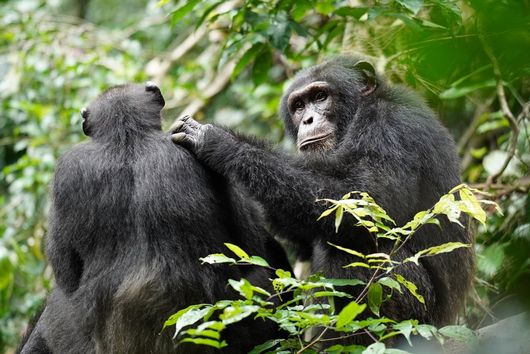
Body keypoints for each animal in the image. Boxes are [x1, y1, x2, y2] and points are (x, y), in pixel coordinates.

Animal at [171, 56, 472, 344]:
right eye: (298, 106)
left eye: (320, 97)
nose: (308, 120)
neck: (358, 113)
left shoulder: (392, 127)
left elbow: (365, 198)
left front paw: (220, 141)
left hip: (421, 318)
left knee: (354, 251)